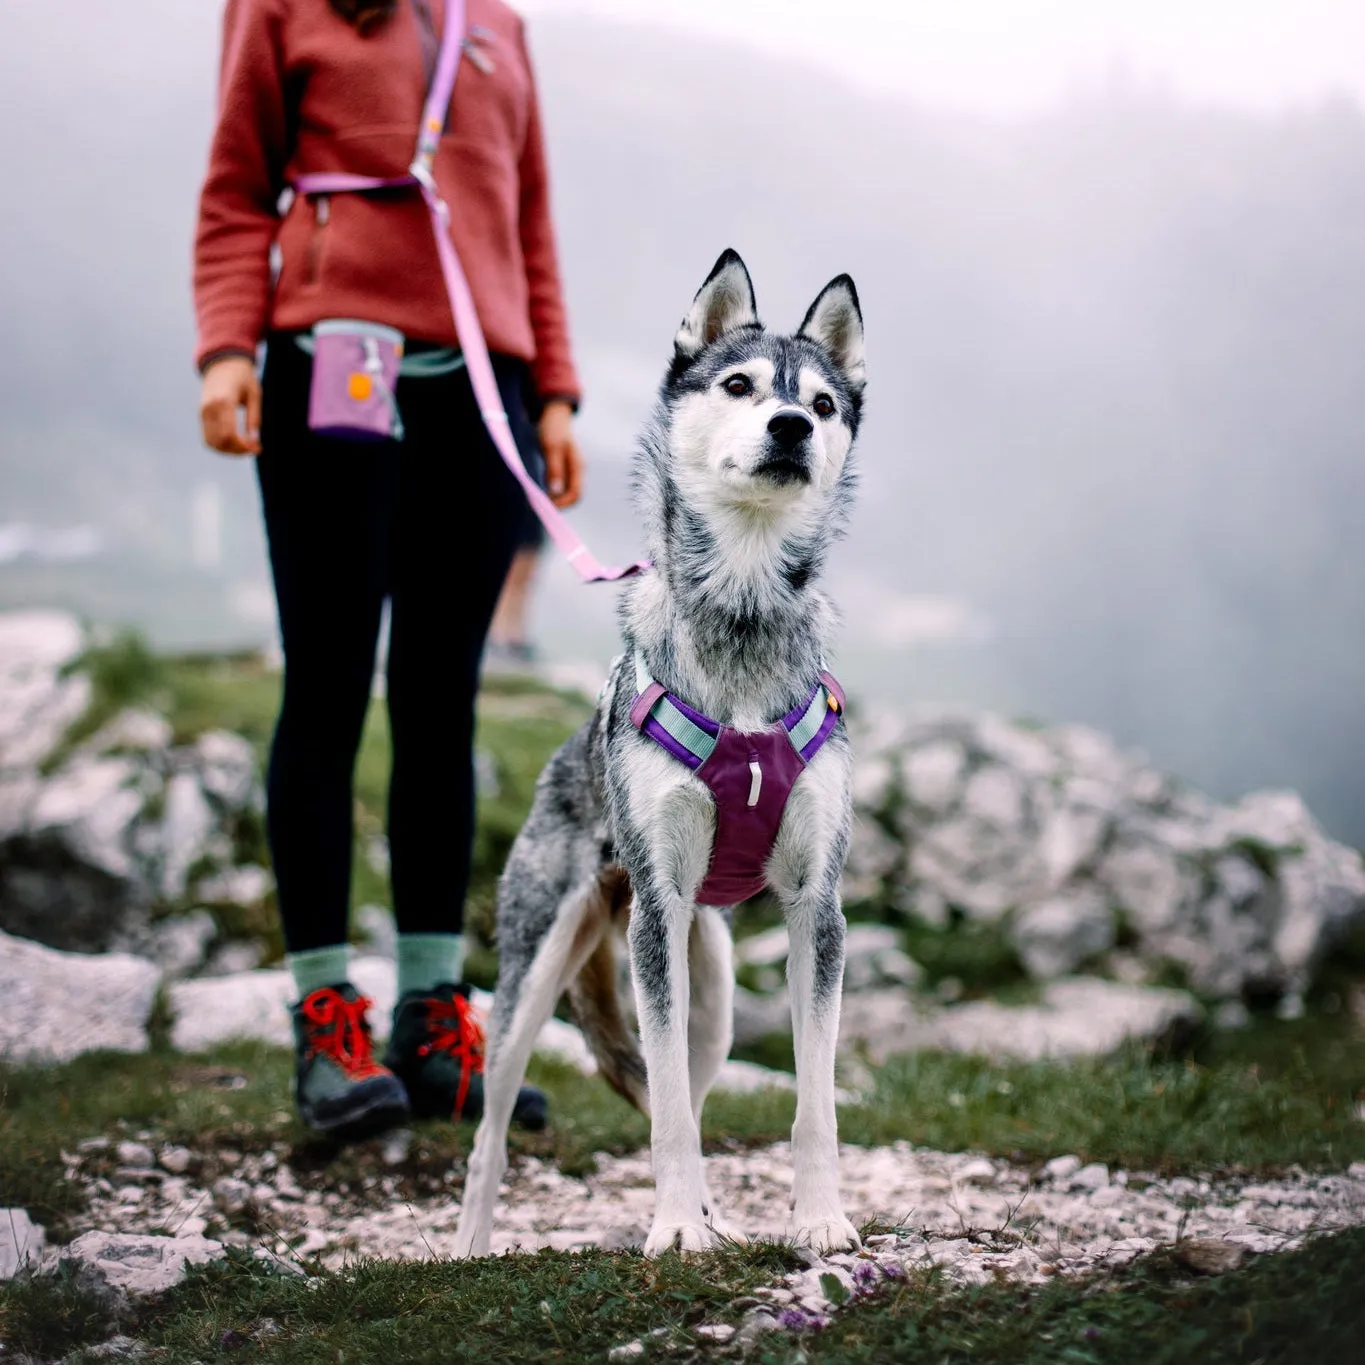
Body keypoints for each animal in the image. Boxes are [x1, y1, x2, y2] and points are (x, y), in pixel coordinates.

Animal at [453, 249, 866, 1258]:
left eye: (824, 402)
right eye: (738, 384)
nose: (792, 425)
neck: (744, 616)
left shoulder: (818, 909)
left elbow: (812, 1103)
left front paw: (819, 1218)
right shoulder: (658, 908)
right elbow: (669, 1112)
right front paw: (676, 1229)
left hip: (707, 986)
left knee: (694, 1081)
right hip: (538, 972)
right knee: (493, 1128)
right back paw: (469, 1246)